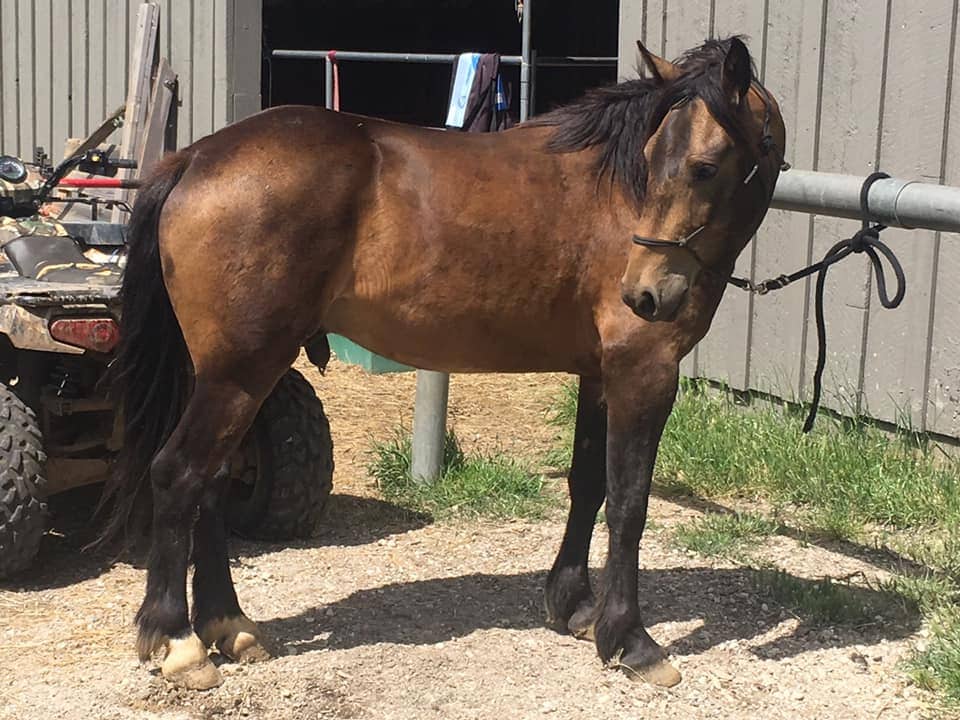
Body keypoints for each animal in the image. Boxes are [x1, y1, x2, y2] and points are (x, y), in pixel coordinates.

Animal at [99, 39, 788, 692]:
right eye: (654, 161)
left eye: (703, 167)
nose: (643, 295)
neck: (612, 197)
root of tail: (195, 159)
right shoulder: (644, 372)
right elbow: (629, 502)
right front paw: (630, 639)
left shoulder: (598, 375)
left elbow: (588, 485)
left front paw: (574, 605)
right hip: (241, 371)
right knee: (179, 476)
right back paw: (179, 642)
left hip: (233, 376)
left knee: (211, 485)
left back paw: (229, 626)